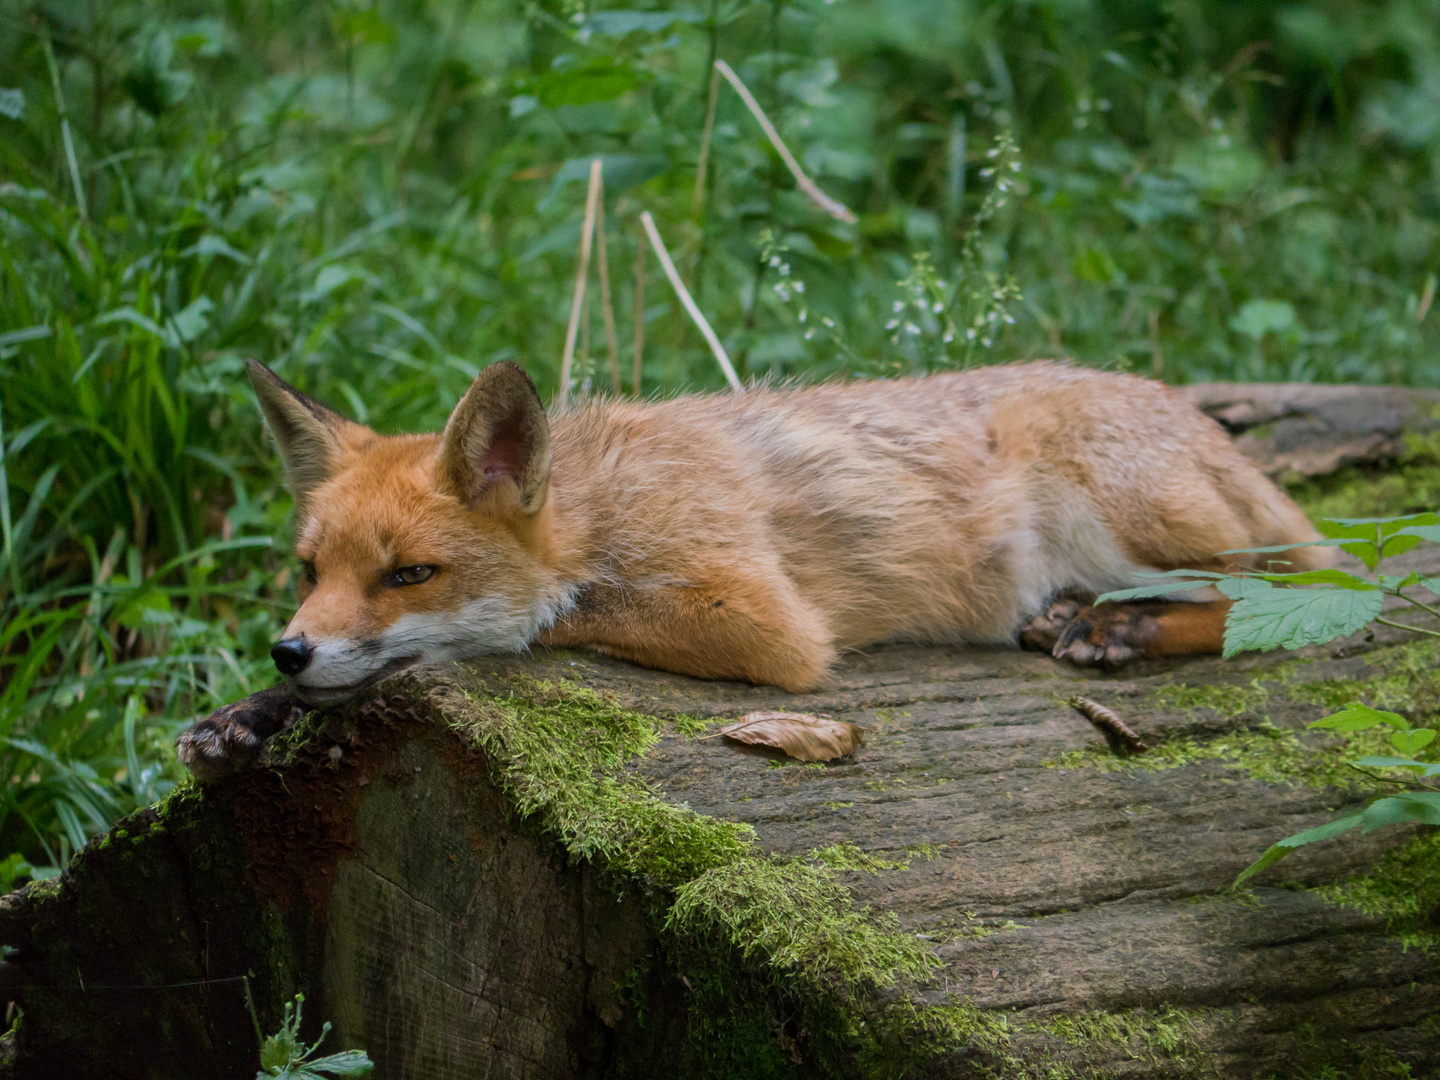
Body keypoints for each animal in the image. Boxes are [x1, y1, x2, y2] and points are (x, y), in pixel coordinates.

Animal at [247, 360, 1324, 705]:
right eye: (307, 571)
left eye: (410, 575)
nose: (288, 652)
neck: (607, 506)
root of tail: (1192, 411)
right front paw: (249, 717)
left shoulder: (768, 621)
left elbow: (555, 614)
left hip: (1121, 510)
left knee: (1290, 596)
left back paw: (1117, 627)